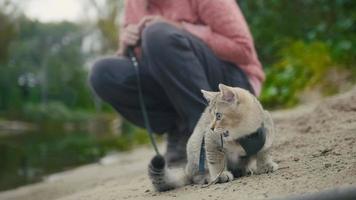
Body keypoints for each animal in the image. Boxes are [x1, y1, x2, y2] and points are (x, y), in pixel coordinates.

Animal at [147, 83, 278, 191]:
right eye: (211, 116)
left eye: (218, 116)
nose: (211, 127)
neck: (243, 134)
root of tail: (186, 168)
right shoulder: (211, 142)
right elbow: (216, 162)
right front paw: (220, 176)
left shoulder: (268, 130)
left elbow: (264, 151)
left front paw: (266, 165)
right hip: (196, 148)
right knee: (195, 176)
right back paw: (206, 177)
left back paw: (243, 170)